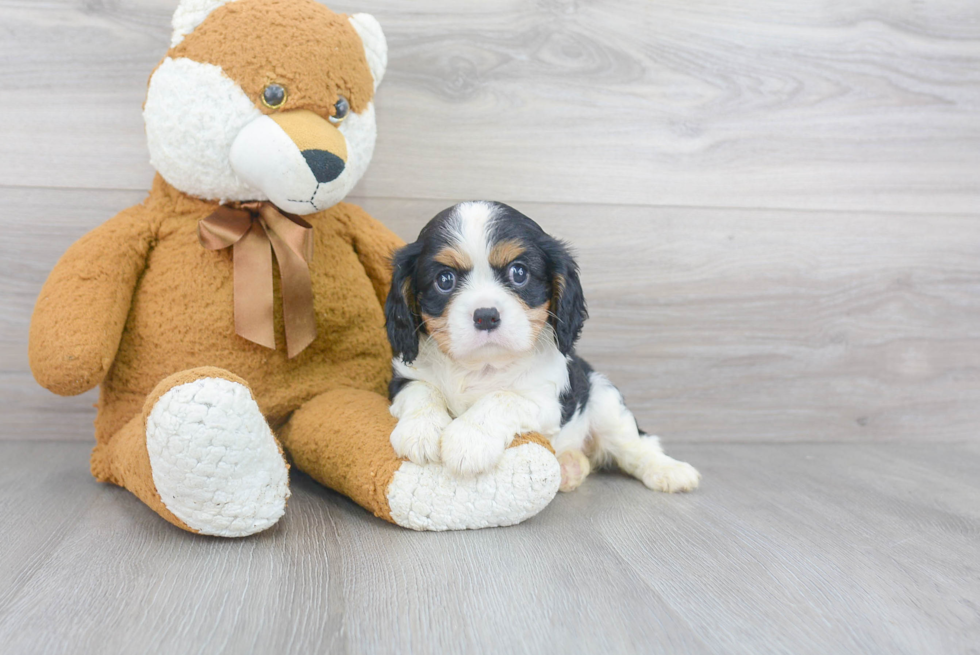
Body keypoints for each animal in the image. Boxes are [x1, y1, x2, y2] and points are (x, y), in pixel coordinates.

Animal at [380, 200, 696, 492]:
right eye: (444, 280)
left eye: (519, 273)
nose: (486, 315)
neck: (483, 365)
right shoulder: (404, 380)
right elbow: (423, 390)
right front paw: (419, 431)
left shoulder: (548, 402)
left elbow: (502, 398)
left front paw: (469, 440)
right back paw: (569, 467)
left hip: (605, 400)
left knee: (637, 444)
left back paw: (669, 470)